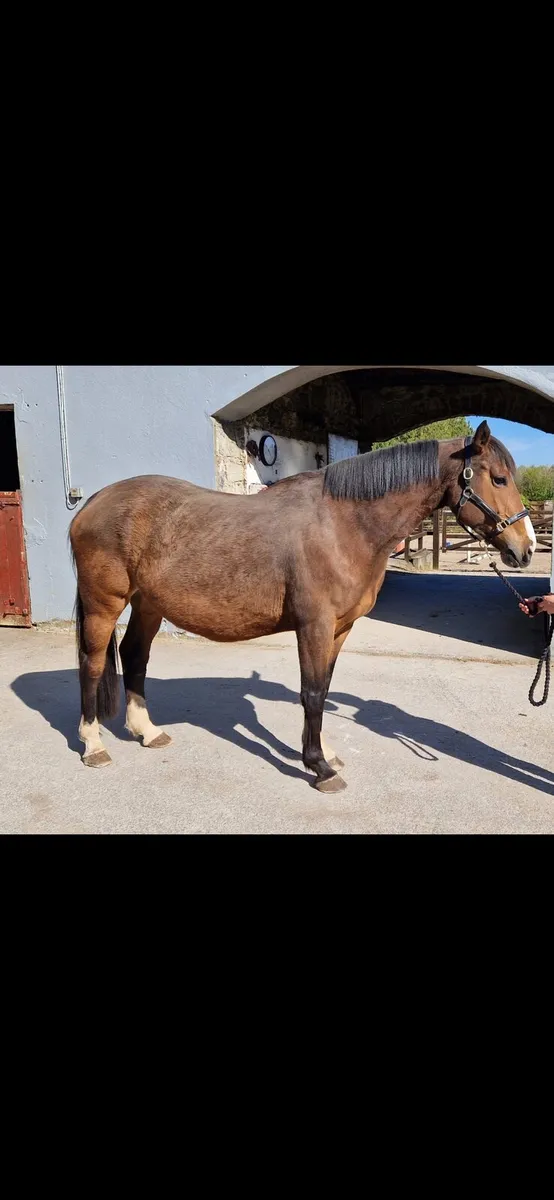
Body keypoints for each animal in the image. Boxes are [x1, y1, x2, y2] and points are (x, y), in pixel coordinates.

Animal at [69, 420, 534, 792]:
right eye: (498, 479)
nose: (525, 550)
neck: (343, 525)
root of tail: (94, 501)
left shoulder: (340, 629)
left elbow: (323, 690)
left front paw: (325, 751)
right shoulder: (314, 625)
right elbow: (310, 693)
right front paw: (319, 768)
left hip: (148, 604)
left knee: (134, 656)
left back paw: (147, 732)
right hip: (104, 603)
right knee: (93, 663)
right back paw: (93, 745)